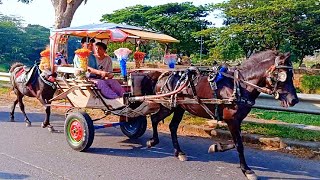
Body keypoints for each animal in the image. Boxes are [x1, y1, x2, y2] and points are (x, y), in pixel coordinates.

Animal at [142, 50, 298, 180]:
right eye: (283, 75)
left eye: (292, 74)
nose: (294, 100)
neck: (239, 86)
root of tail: (162, 76)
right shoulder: (232, 120)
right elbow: (239, 144)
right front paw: (247, 170)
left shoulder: (236, 120)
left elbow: (237, 142)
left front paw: (216, 147)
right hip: (167, 106)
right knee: (155, 119)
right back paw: (153, 141)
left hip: (179, 108)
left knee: (172, 126)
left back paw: (178, 152)